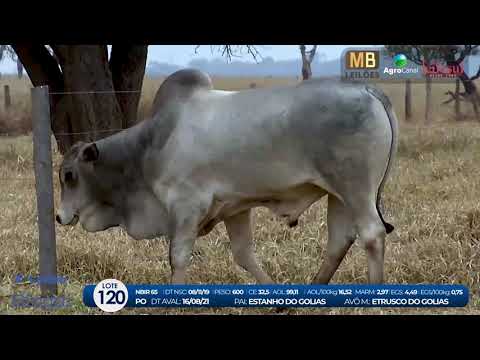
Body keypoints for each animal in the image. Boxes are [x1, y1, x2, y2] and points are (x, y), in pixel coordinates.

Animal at [56, 69, 400, 284]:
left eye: (69, 175)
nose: (59, 217)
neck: (149, 145)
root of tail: (366, 88)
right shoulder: (235, 207)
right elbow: (244, 255)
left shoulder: (186, 206)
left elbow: (177, 256)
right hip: (338, 194)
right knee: (339, 241)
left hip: (356, 189)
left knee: (372, 234)